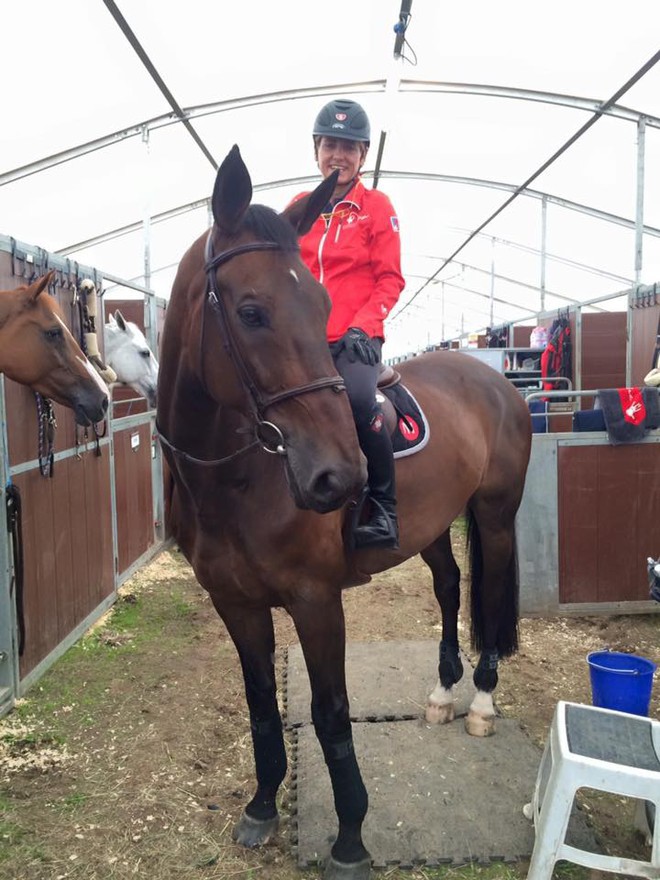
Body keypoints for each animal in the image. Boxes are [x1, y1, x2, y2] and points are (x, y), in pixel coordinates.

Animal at [159, 146, 532, 880]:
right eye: (251, 311)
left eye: (322, 303)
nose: (342, 478)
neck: (238, 478)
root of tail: (495, 379)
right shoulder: (234, 602)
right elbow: (260, 703)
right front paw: (262, 807)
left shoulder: (315, 598)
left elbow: (331, 712)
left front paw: (351, 838)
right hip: (431, 525)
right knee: (450, 586)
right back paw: (442, 695)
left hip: (496, 516)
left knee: (488, 594)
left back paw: (479, 700)